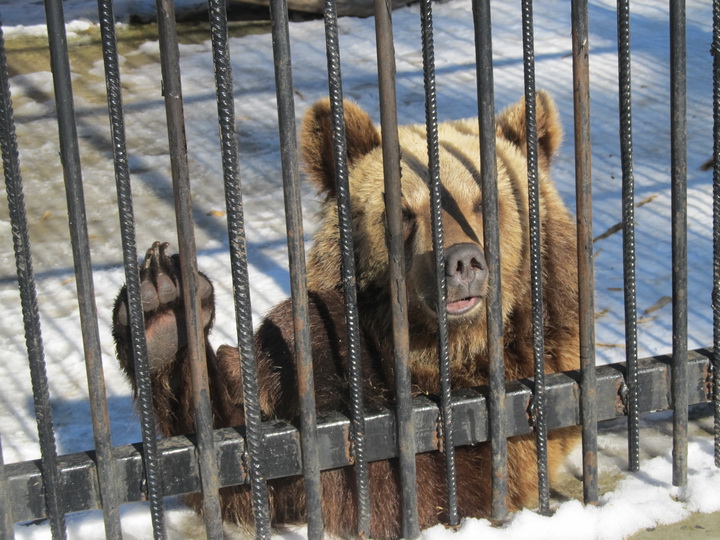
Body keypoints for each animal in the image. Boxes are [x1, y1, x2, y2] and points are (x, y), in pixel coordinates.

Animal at [115, 90, 584, 536]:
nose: (462, 262)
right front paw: (166, 310)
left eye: (484, 202)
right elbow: (241, 460)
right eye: (403, 212)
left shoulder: (528, 391)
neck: (440, 348)